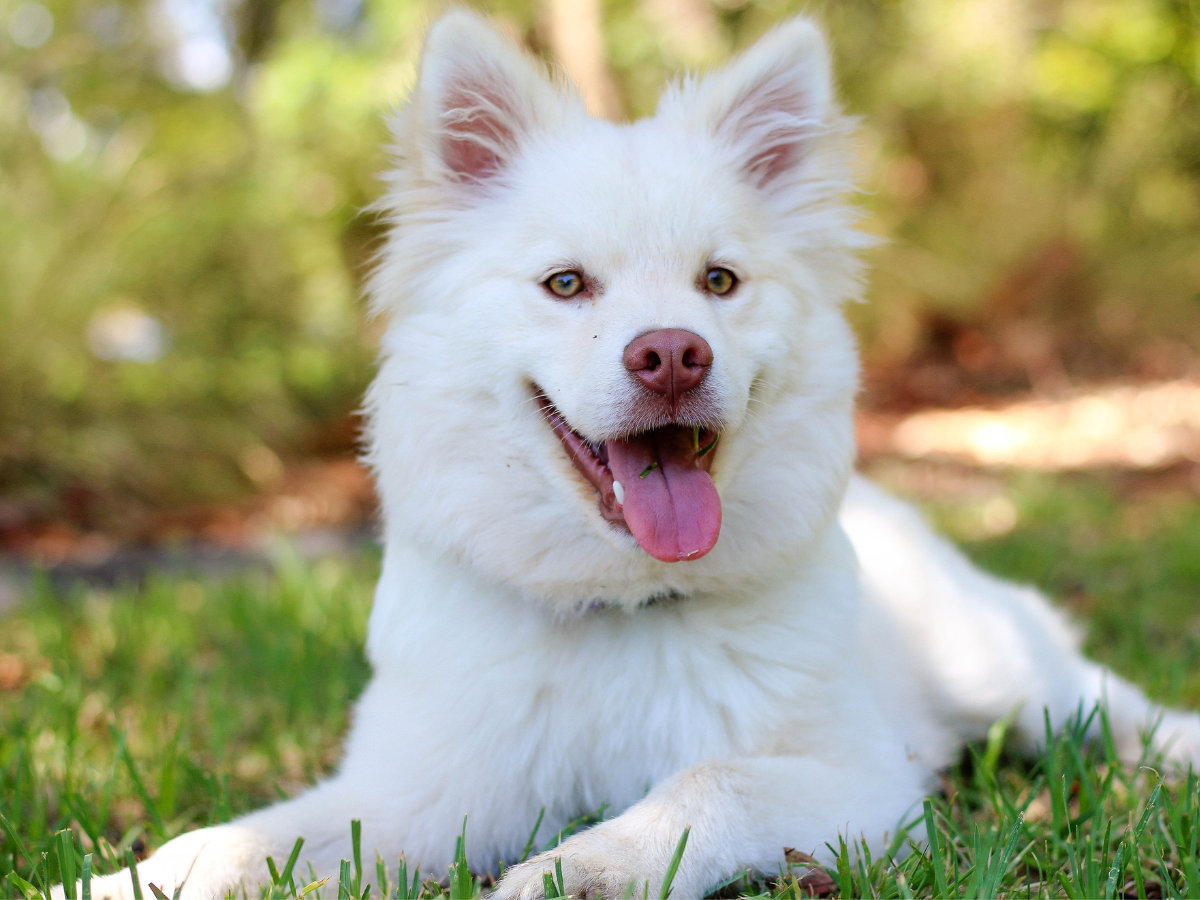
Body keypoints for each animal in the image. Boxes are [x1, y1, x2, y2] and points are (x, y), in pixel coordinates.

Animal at [79, 8, 1195, 900]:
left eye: (719, 281)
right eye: (566, 284)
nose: (670, 354)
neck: (619, 607)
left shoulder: (862, 779)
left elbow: (705, 786)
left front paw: (582, 869)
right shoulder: (410, 796)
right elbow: (239, 841)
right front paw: (115, 881)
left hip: (1000, 670)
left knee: (1109, 704)